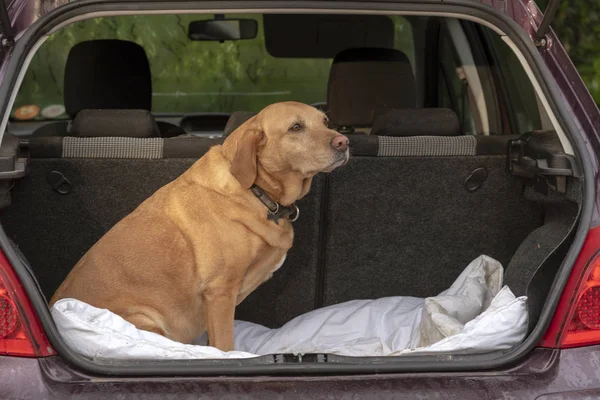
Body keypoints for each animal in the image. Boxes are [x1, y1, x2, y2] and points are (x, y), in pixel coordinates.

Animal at [52, 101, 352, 352]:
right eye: (296, 127)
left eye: (326, 121)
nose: (344, 141)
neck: (256, 191)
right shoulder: (220, 291)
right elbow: (224, 346)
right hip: (147, 319)